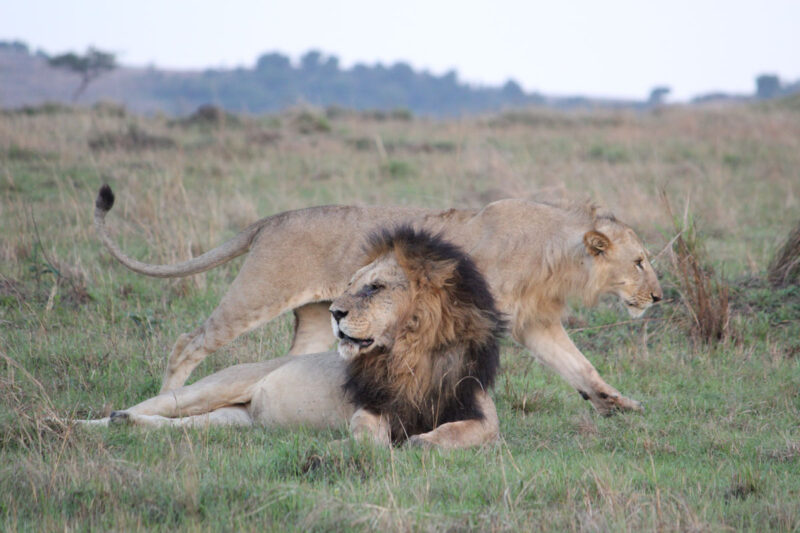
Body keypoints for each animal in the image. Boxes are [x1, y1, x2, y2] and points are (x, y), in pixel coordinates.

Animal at [84, 227, 504, 446]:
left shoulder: (476, 407)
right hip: (210, 388)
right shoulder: (370, 406)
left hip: (230, 421)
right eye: (350, 284)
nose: (334, 311)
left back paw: (125, 424)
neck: (408, 353)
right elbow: (368, 435)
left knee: (175, 426)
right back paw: (82, 425)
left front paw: (423, 441)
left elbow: (467, 431)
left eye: (374, 287)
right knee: (150, 405)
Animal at [95, 185, 664, 414]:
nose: (659, 296)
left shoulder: (536, 323)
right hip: (256, 293)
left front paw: (616, 404)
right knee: (187, 342)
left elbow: (580, 366)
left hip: (313, 319)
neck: (556, 256)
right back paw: (168, 395)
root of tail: (273, 219)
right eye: (639, 261)